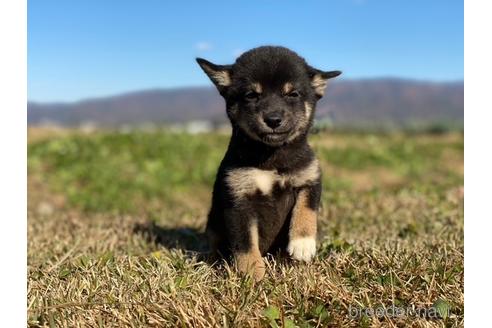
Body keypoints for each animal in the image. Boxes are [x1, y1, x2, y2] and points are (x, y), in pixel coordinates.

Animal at [196, 46, 342, 280]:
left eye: (292, 94)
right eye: (251, 95)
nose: (273, 119)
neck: (272, 157)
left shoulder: (309, 180)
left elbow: (306, 211)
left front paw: (303, 244)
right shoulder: (238, 199)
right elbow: (245, 242)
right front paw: (252, 272)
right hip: (213, 224)